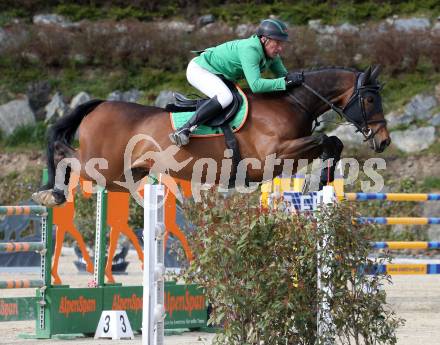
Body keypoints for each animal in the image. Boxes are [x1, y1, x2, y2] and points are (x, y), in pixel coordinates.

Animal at [32, 64, 390, 206]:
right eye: (370, 100)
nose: (384, 140)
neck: (291, 102)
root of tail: (100, 105)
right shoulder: (272, 156)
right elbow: (327, 140)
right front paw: (316, 182)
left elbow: (333, 143)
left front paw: (319, 182)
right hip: (101, 167)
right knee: (64, 153)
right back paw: (52, 193)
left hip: (124, 176)